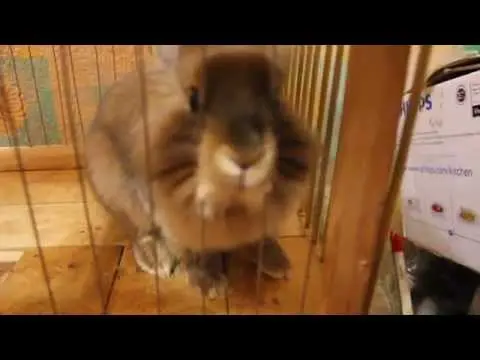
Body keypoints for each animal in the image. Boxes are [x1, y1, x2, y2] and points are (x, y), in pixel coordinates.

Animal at [83, 45, 316, 298]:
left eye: (275, 96)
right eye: (194, 99)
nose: (246, 156)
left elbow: (260, 236)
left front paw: (278, 264)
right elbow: (193, 250)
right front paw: (210, 284)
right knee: (140, 232)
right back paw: (158, 261)